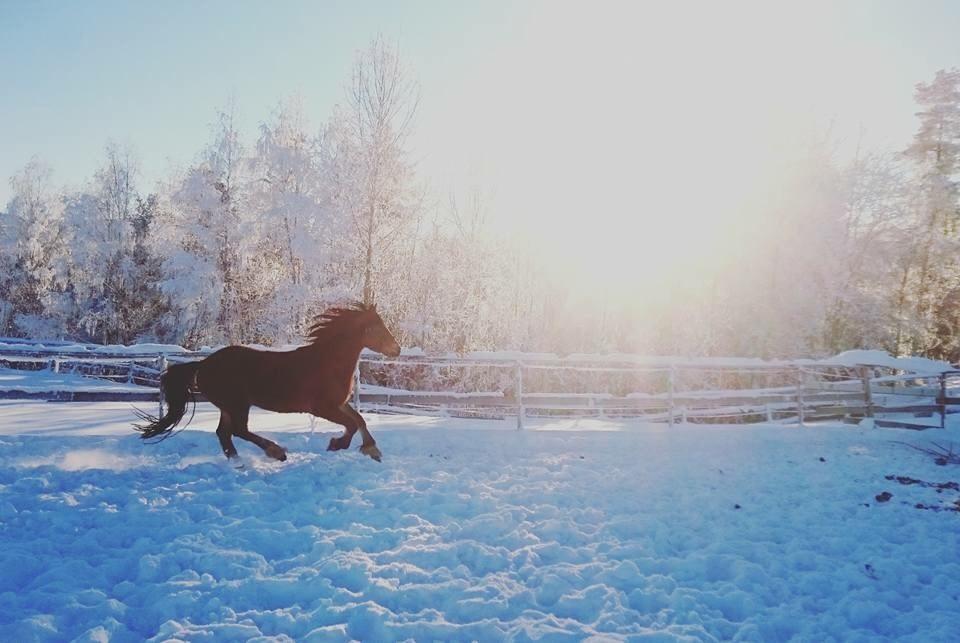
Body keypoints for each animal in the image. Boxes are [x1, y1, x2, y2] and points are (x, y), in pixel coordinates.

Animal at [133, 304, 400, 462]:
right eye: (377, 327)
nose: (397, 349)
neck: (327, 362)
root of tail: (204, 364)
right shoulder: (322, 407)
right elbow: (351, 425)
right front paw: (337, 444)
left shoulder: (339, 404)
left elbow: (359, 419)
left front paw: (372, 450)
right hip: (237, 405)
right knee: (238, 431)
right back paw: (276, 451)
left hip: (228, 406)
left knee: (224, 433)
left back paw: (238, 462)